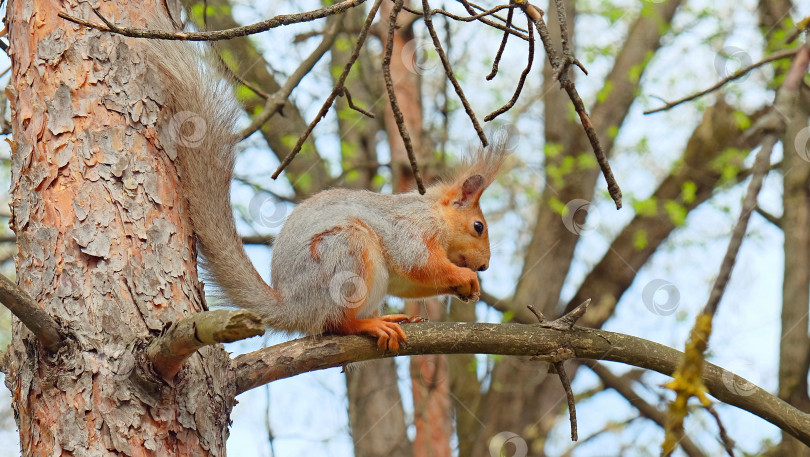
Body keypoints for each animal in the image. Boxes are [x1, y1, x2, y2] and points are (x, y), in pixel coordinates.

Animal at [142, 23, 502, 350]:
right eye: (478, 226)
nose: (485, 266)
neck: (433, 213)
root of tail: (294, 307)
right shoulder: (412, 229)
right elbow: (419, 263)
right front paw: (465, 278)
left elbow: (412, 284)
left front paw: (468, 290)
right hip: (343, 254)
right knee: (335, 323)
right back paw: (367, 324)